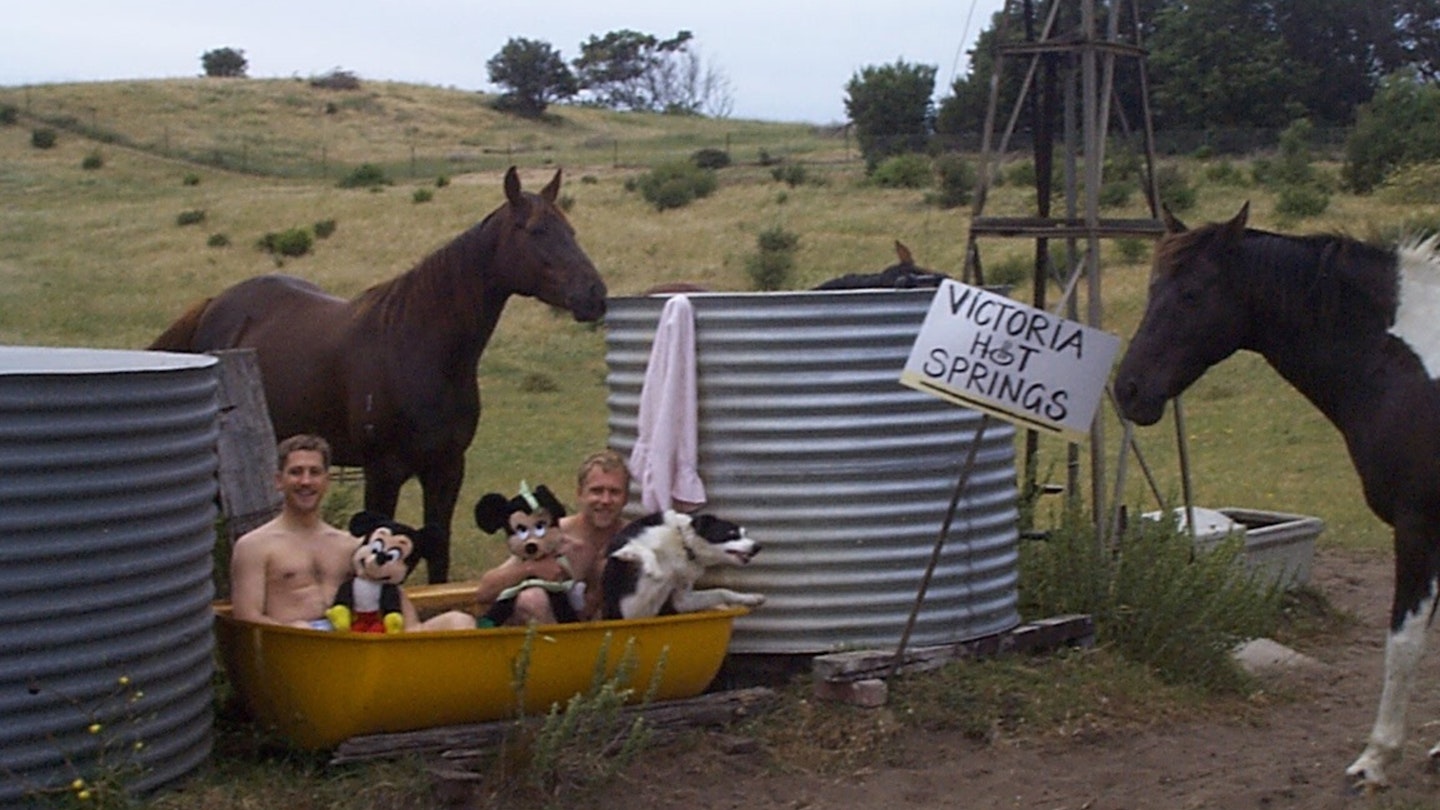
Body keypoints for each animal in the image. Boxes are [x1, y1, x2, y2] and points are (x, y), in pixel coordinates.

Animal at [150, 165, 607, 579]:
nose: (595, 294)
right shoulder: (383, 473)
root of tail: (215, 304)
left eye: (571, 231)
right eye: (536, 231)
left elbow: (438, 551)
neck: (418, 350)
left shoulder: (446, 469)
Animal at [1111, 203, 1440, 789]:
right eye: (1152, 289)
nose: (1128, 389)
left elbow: (1404, 642)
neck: (1408, 365)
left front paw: (1376, 759)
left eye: (1191, 293)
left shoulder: (1418, 524)